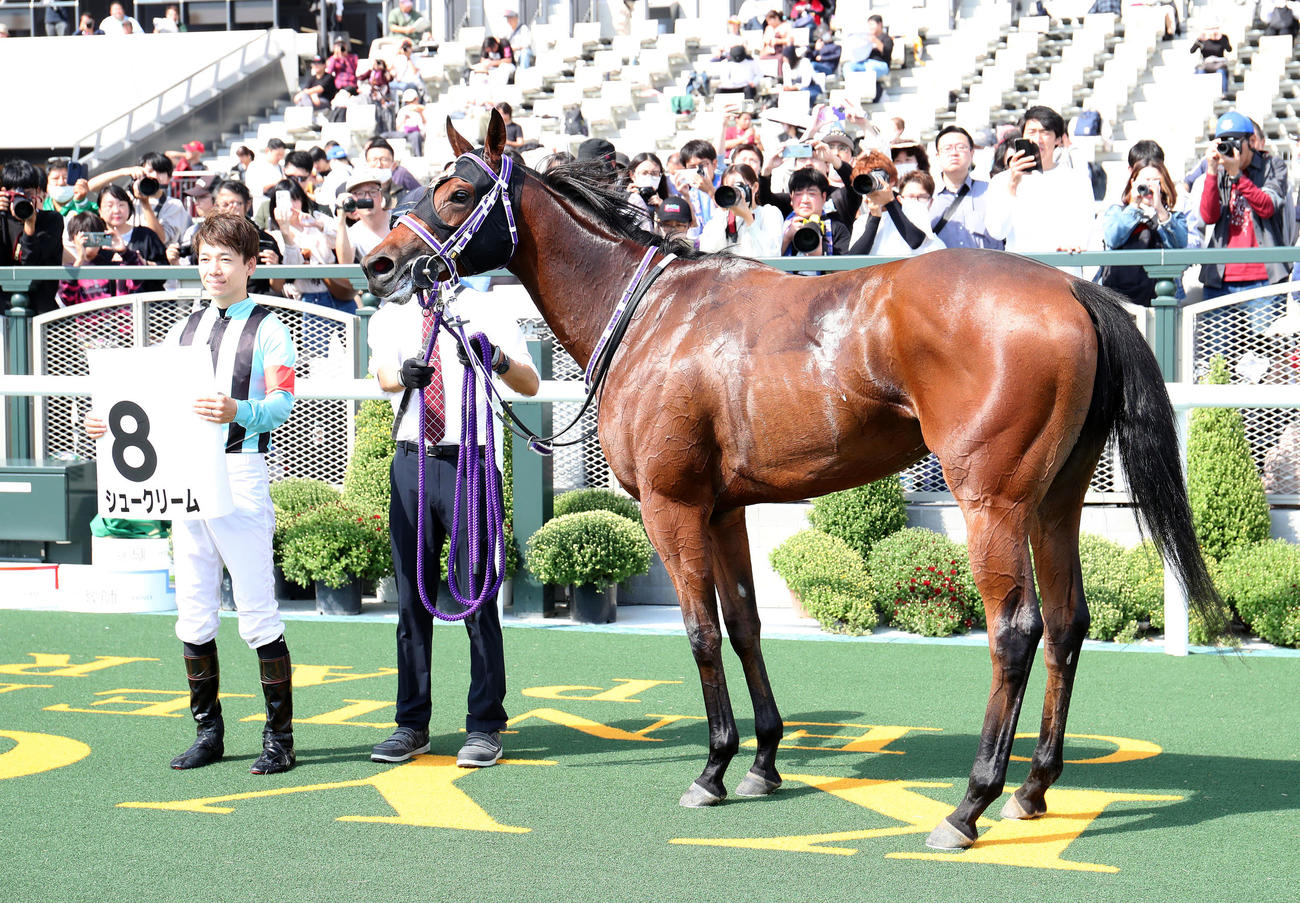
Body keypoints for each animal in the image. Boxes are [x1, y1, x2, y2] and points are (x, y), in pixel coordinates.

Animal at [361, 112, 1223, 850]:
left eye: (457, 191)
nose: (379, 263)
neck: (651, 315)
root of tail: (1072, 287)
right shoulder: (725, 509)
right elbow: (744, 623)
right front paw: (763, 761)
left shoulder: (673, 507)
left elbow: (700, 631)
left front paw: (711, 766)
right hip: (1054, 499)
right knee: (1071, 623)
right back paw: (1034, 786)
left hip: (993, 502)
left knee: (1016, 631)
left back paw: (968, 803)